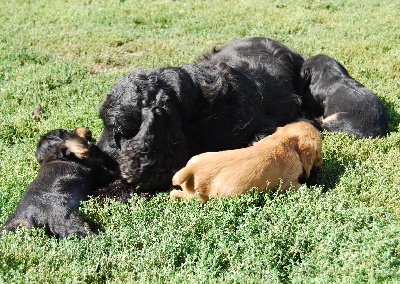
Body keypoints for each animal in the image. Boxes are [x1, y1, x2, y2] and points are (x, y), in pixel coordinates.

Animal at [170, 121, 324, 202]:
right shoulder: (290, 183)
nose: (322, 161)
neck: (285, 139)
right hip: (198, 197)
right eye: (319, 150)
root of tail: (190, 169)